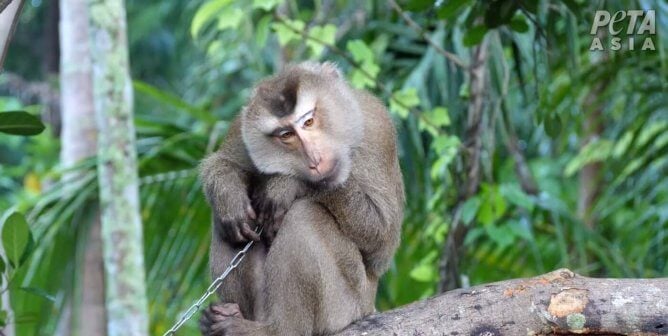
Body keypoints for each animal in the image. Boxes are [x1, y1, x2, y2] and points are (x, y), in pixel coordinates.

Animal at [198, 61, 404, 334]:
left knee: (303, 217)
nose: (314, 157)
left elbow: (382, 237)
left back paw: (279, 329)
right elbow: (223, 164)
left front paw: (285, 184)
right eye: (286, 134)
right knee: (227, 225)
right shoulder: (243, 128)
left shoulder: (376, 127)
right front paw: (230, 197)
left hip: (347, 305)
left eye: (309, 121)